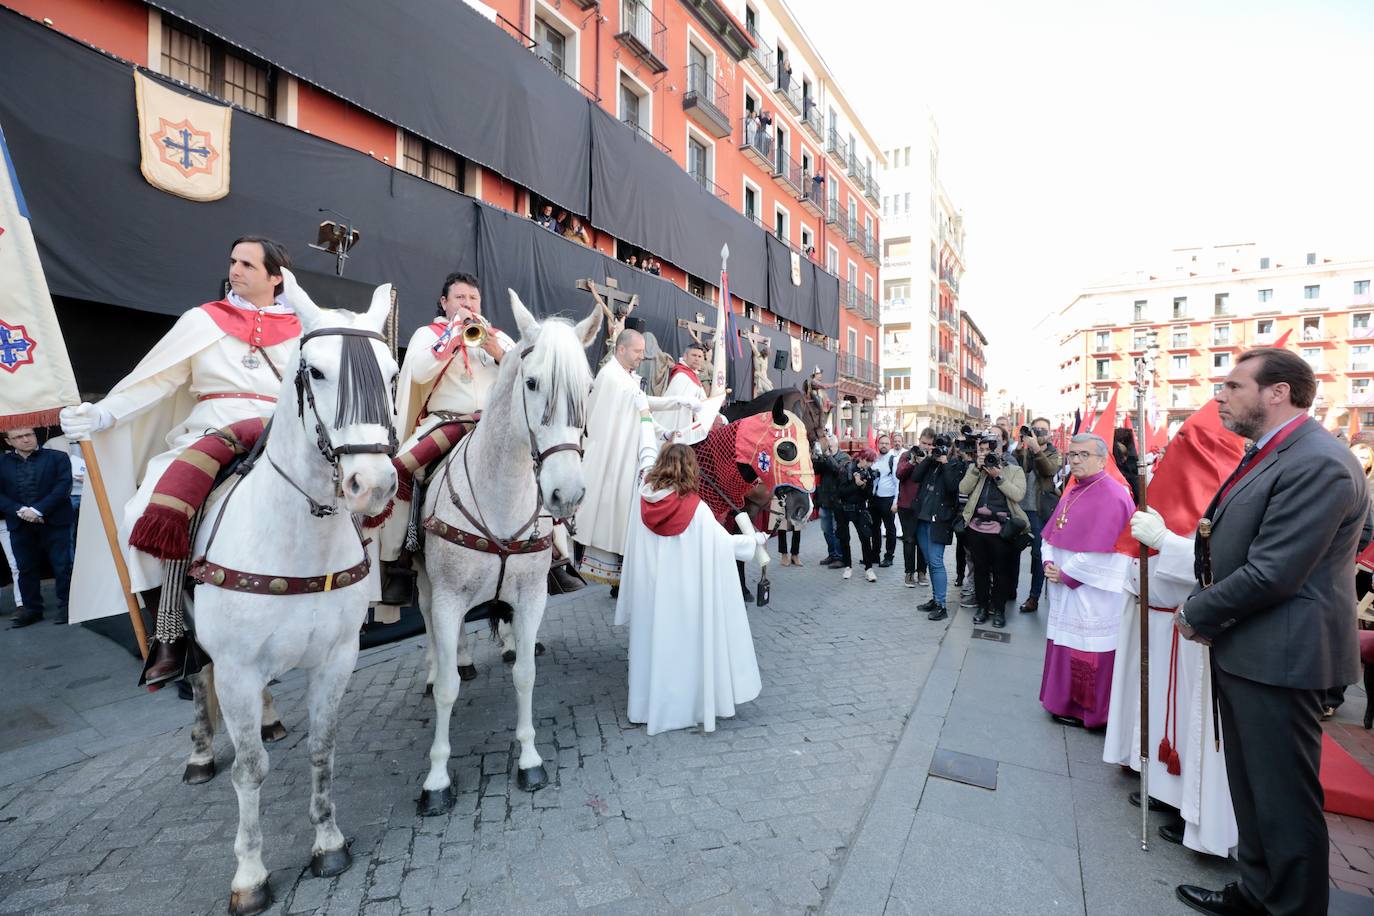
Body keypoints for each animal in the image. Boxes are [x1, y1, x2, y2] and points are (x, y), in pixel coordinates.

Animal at [182, 274, 398, 916]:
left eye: (392, 372)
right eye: (317, 372)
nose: (373, 485)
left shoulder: (336, 657)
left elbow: (322, 748)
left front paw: (328, 842)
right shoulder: (236, 666)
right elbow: (251, 769)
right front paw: (250, 874)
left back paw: (272, 718)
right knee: (198, 683)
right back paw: (200, 753)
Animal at [412, 289, 596, 813]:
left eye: (588, 387)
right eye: (531, 383)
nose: (566, 495)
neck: (499, 492)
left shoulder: (532, 594)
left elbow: (527, 676)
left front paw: (529, 758)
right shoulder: (450, 597)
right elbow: (448, 690)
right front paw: (437, 780)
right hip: (426, 584)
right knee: (430, 625)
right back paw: (442, 663)